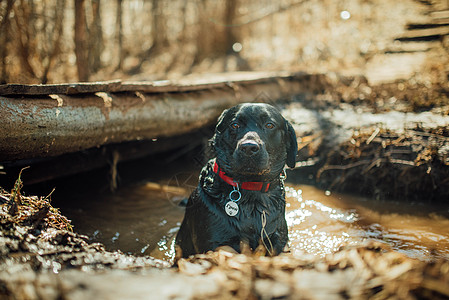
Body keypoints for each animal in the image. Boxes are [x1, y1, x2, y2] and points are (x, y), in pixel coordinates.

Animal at [175, 103, 298, 258]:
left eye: (269, 125)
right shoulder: (214, 243)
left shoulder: (278, 240)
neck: (251, 190)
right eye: (235, 125)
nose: (249, 147)